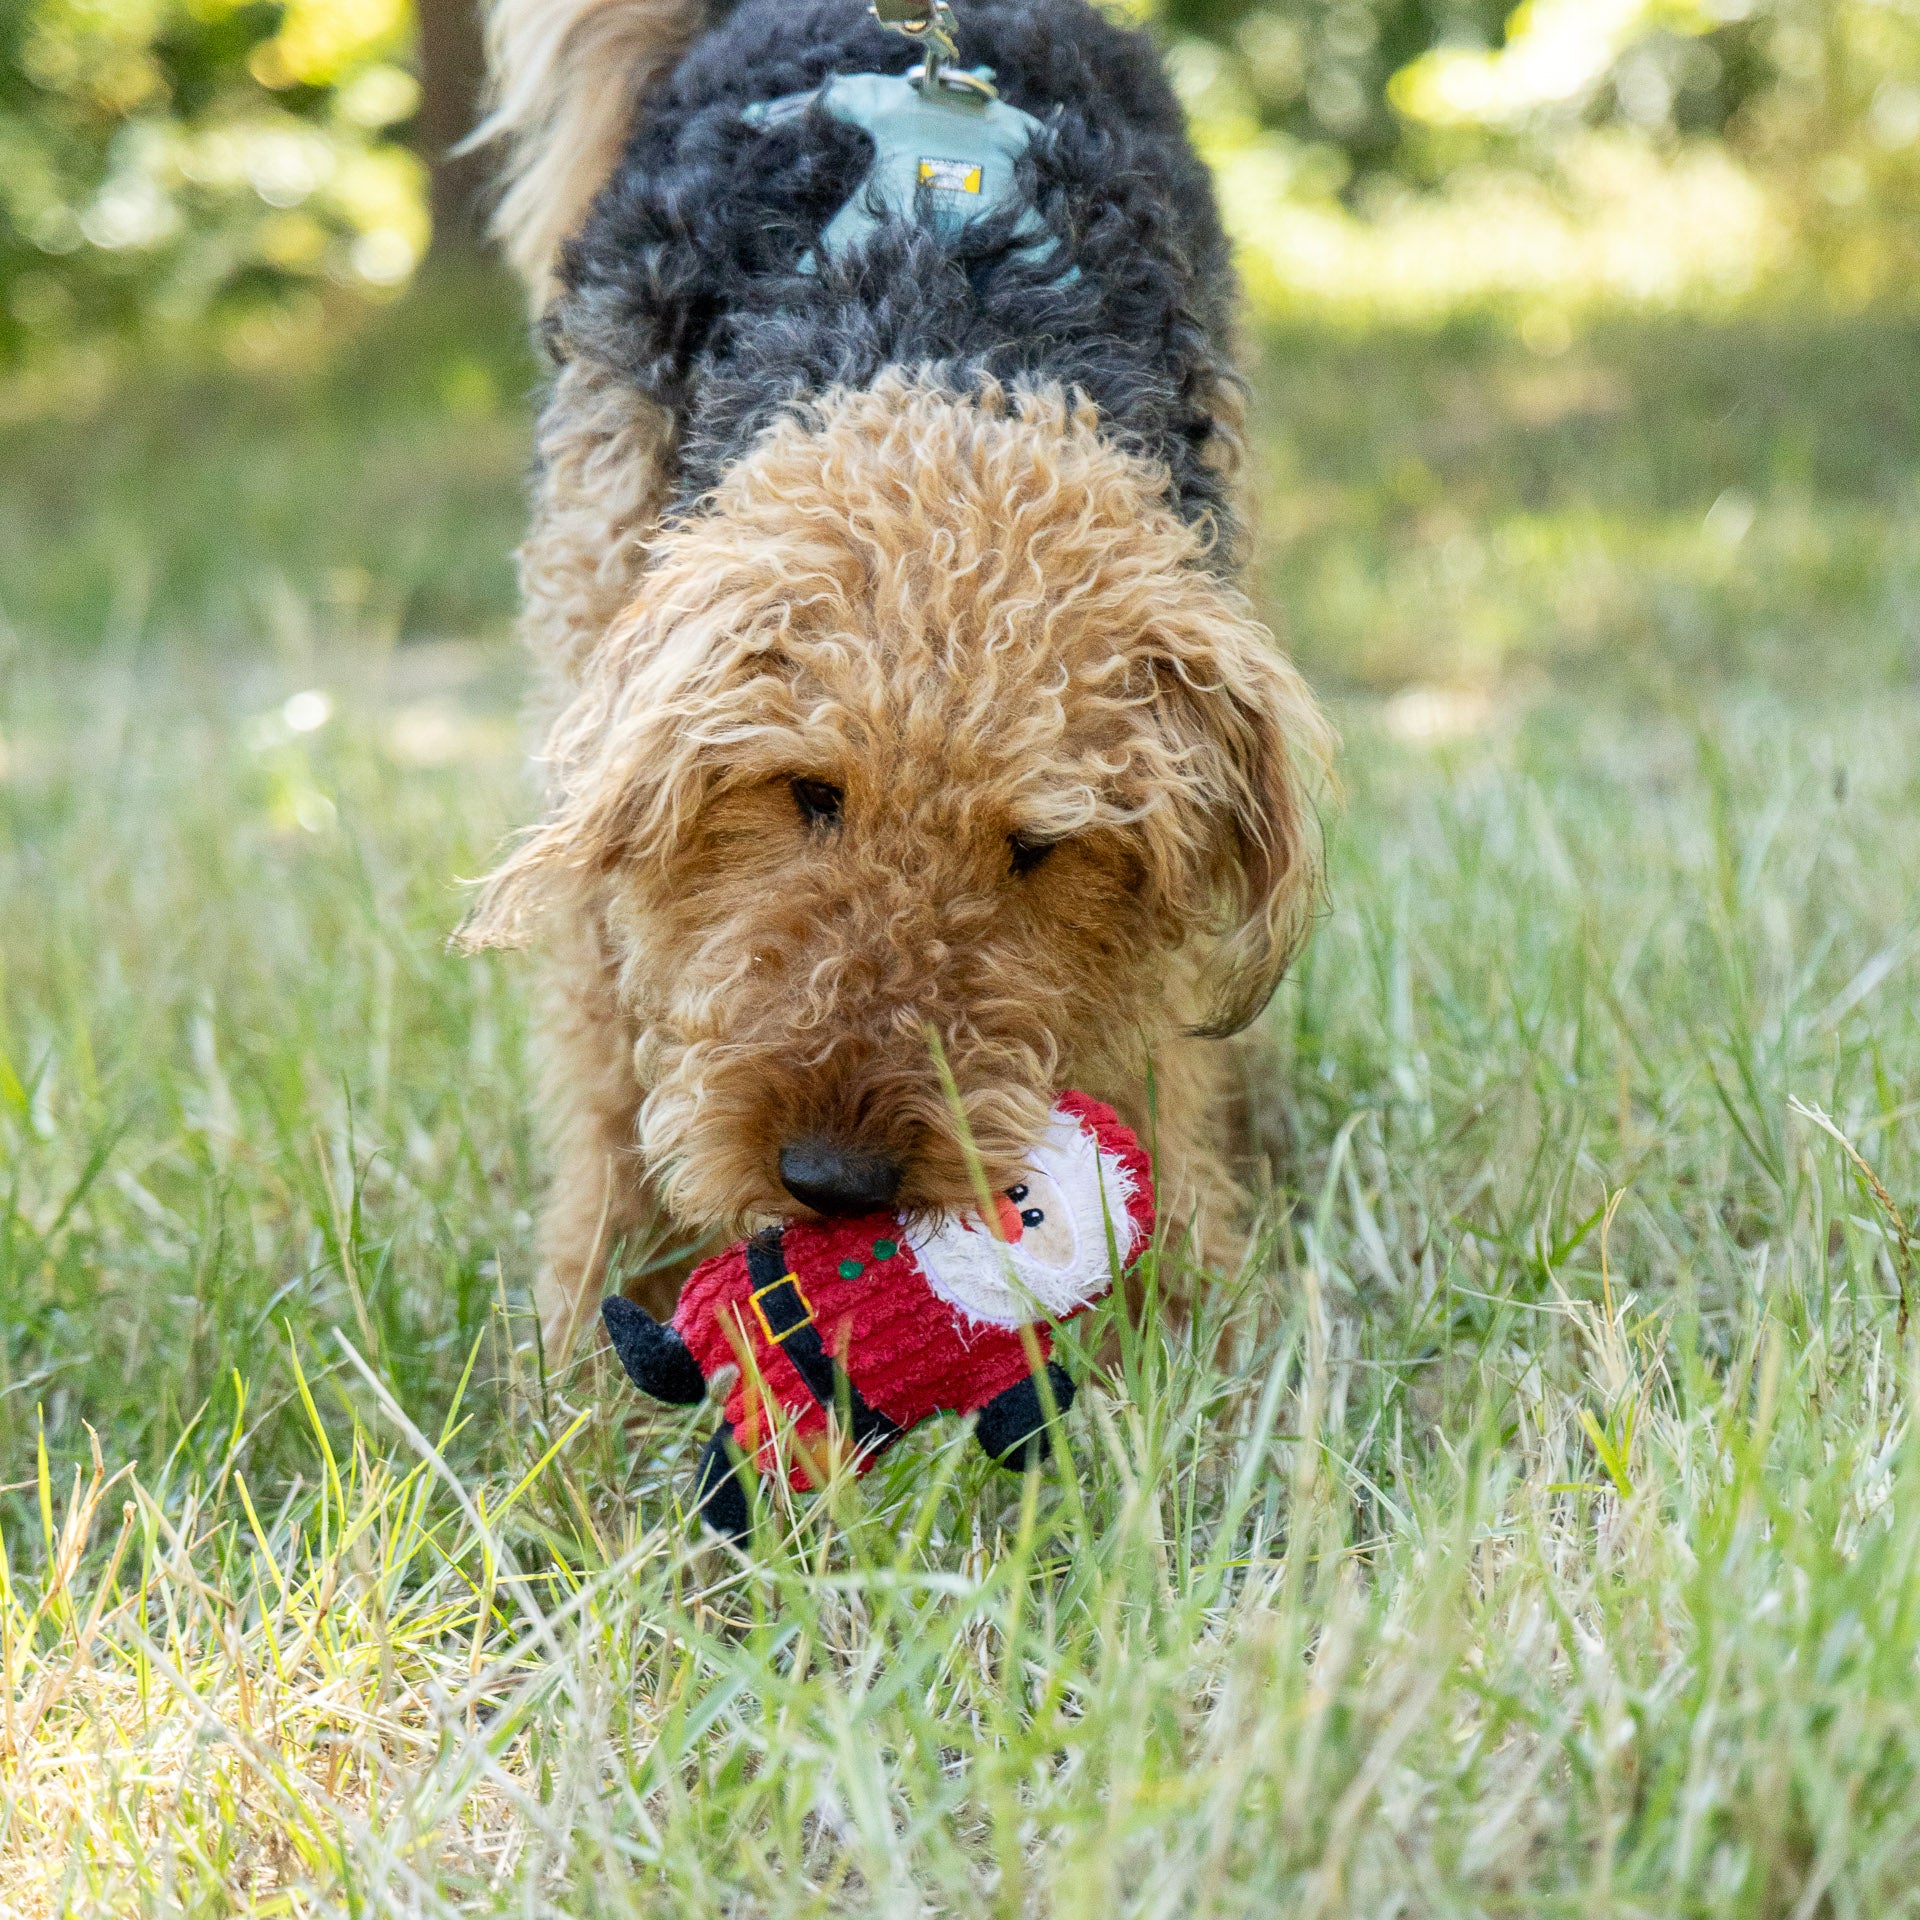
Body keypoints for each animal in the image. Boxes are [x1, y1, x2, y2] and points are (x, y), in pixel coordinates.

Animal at [464, 0, 1336, 1359]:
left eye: (1039, 847)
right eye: (807, 790)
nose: (833, 1180)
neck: (939, 344)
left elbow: (1156, 1045)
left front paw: (1193, 1326)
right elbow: (607, 1067)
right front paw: (577, 1350)